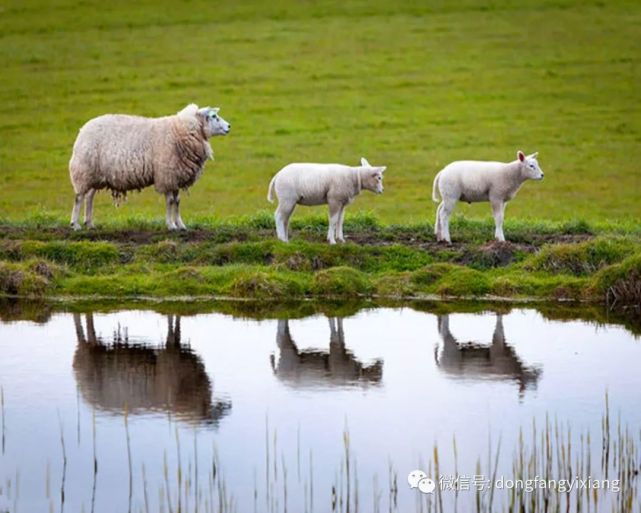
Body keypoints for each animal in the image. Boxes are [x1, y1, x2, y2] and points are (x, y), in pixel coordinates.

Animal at [69, 103, 229, 230]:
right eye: (214, 116)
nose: (229, 126)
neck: (181, 130)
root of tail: (82, 130)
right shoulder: (166, 175)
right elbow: (170, 201)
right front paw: (171, 225)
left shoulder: (175, 177)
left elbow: (177, 202)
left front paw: (180, 225)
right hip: (83, 170)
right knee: (79, 197)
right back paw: (75, 224)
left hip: (94, 175)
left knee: (89, 197)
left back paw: (89, 223)